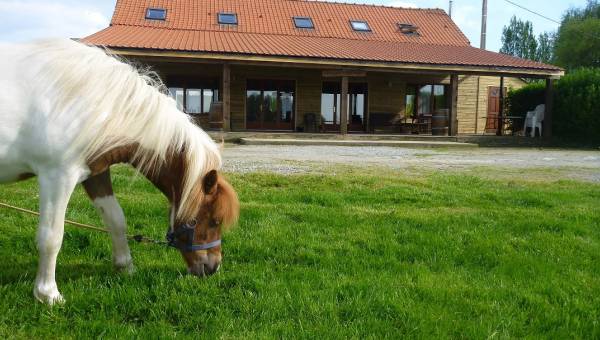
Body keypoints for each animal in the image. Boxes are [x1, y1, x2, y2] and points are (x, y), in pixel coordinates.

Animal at [0, 39, 239, 306]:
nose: (213, 267)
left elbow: (116, 219)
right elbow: (51, 236)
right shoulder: (57, 177)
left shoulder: (95, 173)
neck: (88, 100)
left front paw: (126, 267)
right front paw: (48, 293)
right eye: (215, 220)